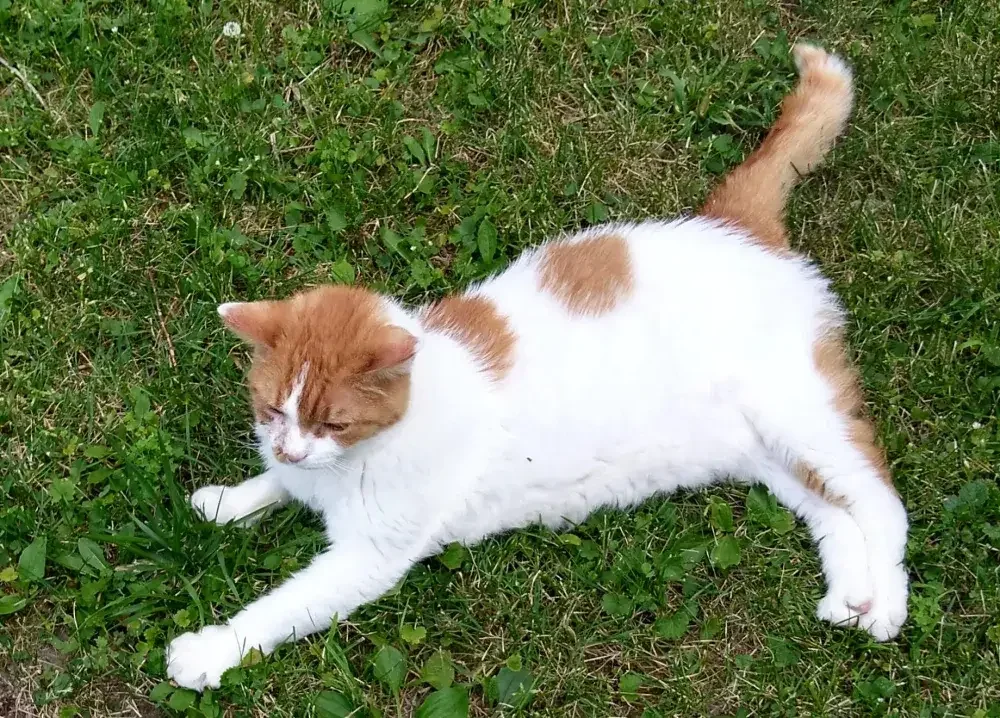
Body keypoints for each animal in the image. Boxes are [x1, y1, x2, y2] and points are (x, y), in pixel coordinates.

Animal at [168, 43, 912, 692]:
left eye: (334, 423)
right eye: (272, 409)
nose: (292, 449)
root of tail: (733, 224)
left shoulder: (366, 558)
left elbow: (280, 609)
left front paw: (212, 651)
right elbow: (272, 485)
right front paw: (232, 500)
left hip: (802, 416)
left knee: (879, 500)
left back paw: (887, 606)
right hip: (765, 452)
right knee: (834, 511)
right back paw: (851, 592)